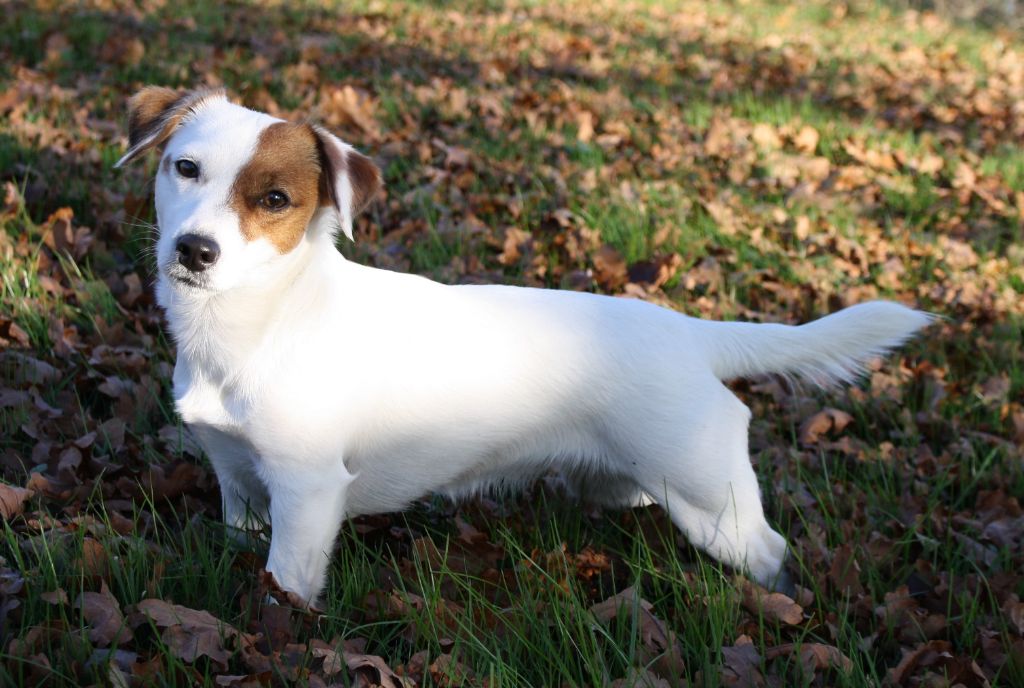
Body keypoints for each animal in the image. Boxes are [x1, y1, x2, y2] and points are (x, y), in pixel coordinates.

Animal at [116, 87, 933, 606]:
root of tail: (689, 331)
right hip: (636, 480)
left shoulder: (307, 494)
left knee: (771, 554)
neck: (262, 321)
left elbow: (285, 587)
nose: (193, 251)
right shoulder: (237, 479)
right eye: (185, 168)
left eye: (276, 200)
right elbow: (240, 538)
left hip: (711, 501)